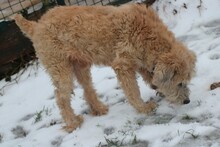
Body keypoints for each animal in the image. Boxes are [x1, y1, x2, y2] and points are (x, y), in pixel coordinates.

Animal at [14, 3, 197, 132]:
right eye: (180, 83)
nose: (187, 101)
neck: (149, 36)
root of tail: (36, 26)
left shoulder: (140, 62)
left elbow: (148, 76)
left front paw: (157, 89)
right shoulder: (123, 65)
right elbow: (133, 90)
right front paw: (143, 107)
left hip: (81, 66)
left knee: (87, 89)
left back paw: (99, 109)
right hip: (60, 68)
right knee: (61, 97)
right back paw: (72, 123)